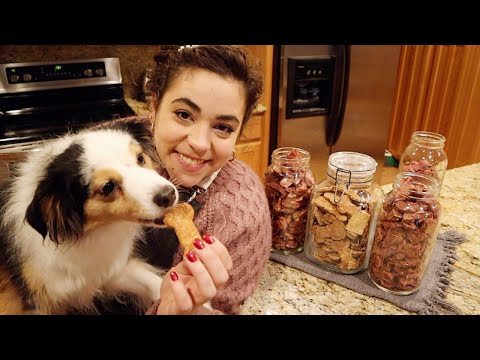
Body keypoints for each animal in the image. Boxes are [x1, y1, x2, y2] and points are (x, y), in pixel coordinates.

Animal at [0, 119, 178, 314]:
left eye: (140, 158)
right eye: (108, 187)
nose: (168, 195)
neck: (90, 233)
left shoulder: (109, 272)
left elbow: (155, 282)